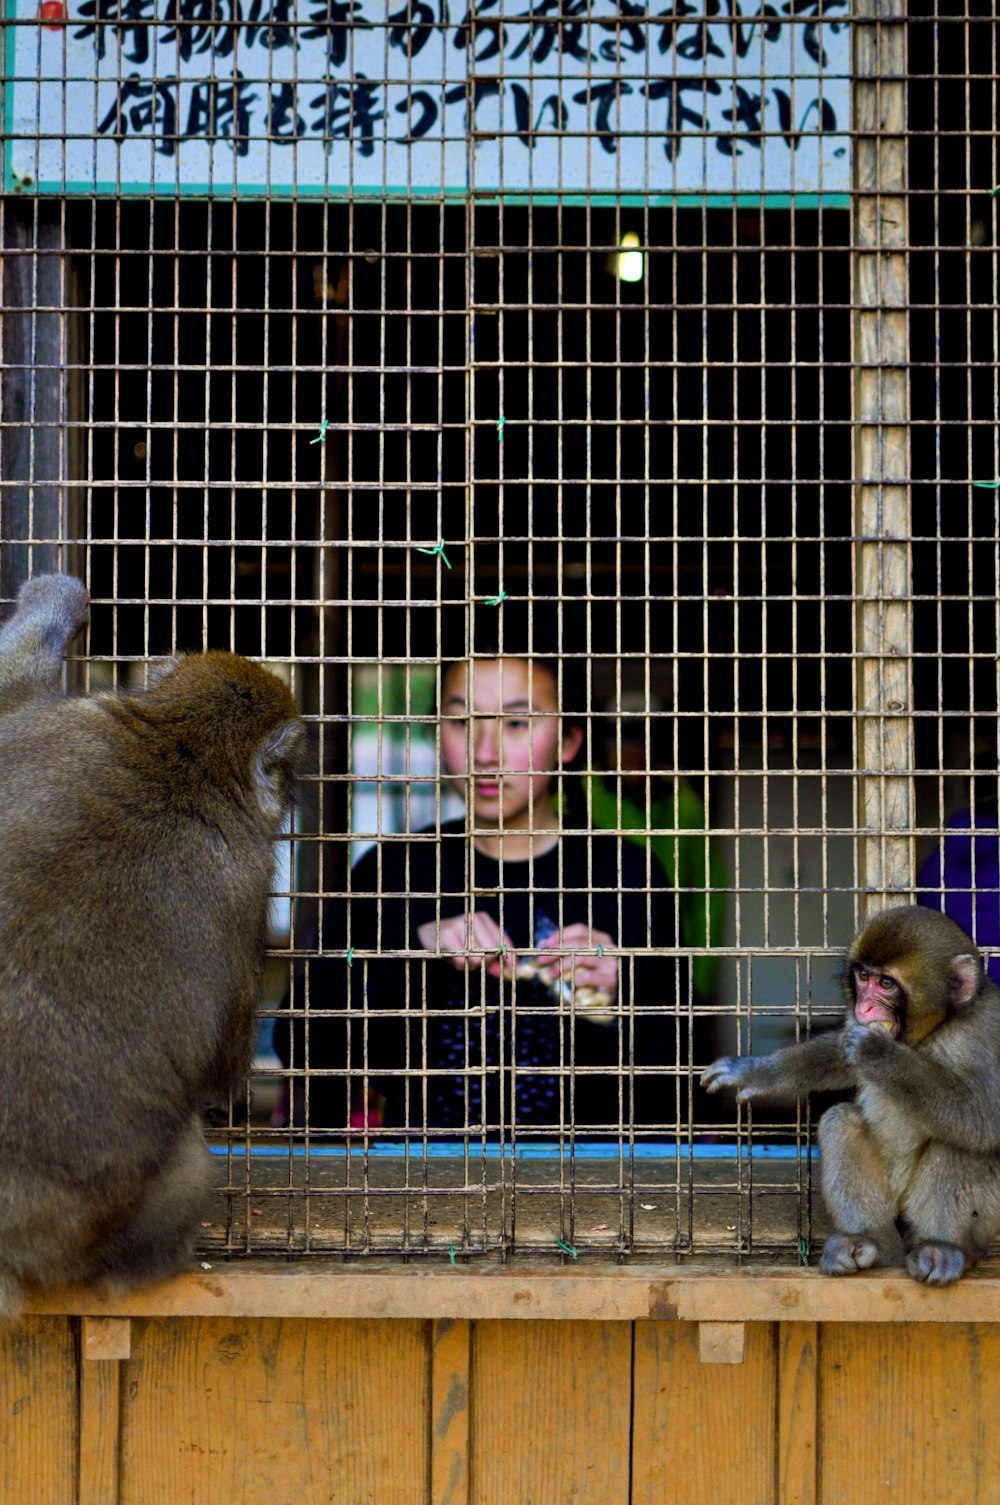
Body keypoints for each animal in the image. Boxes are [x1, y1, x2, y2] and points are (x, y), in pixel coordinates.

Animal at [698, 903, 1000, 1282]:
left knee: (965, 1142)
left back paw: (941, 1247)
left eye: (886, 984)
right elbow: (842, 1053)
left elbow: (985, 1117)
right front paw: (755, 1071)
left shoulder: (984, 1034)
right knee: (841, 1120)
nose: (864, 1007)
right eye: (863, 977)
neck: (939, 1027)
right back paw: (874, 1244)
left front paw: (878, 1053)